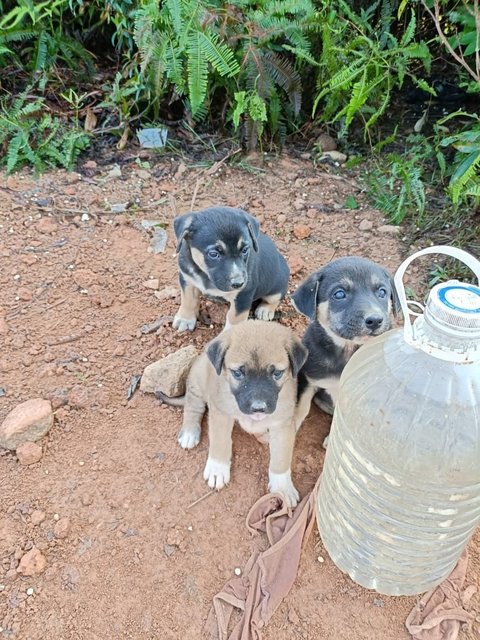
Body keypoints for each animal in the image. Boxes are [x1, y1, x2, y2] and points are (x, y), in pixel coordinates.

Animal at [158, 322, 308, 508]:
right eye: (238, 373)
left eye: (277, 373)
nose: (258, 408)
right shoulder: (220, 413)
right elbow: (220, 442)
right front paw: (217, 468)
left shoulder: (283, 423)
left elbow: (281, 458)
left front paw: (282, 487)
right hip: (198, 381)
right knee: (193, 406)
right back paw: (189, 432)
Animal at [290, 256, 400, 430]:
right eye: (340, 294)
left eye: (382, 292)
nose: (375, 320)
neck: (347, 349)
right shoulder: (308, 378)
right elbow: (301, 406)